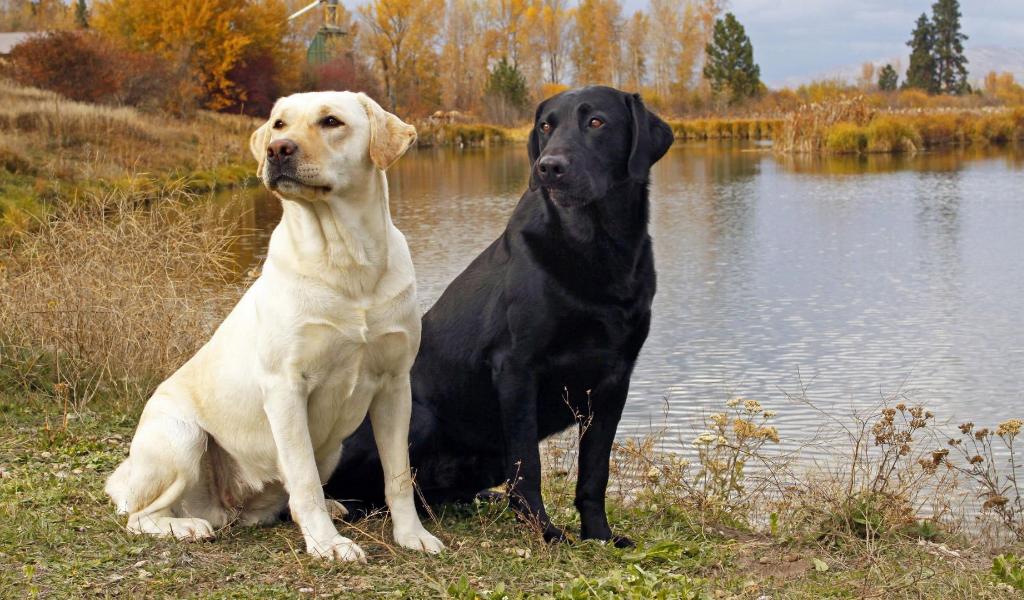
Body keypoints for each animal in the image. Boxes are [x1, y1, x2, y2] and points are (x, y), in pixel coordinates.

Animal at [103, 90, 444, 561]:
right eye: (279, 124)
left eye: (331, 121)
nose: (277, 150)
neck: (345, 259)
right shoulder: (286, 387)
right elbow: (303, 479)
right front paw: (327, 545)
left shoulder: (395, 385)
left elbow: (398, 477)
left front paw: (412, 535)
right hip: (181, 436)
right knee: (140, 516)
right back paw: (187, 527)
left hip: (332, 447)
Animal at [327, 85, 675, 544]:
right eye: (546, 126)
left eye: (596, 122)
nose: (549, 167)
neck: (596, 248)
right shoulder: (516, 367)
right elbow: (529, 465)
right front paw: (545, 532)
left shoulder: (615, 379)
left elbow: (594, 469)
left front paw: (599, 534)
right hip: (416, 419)